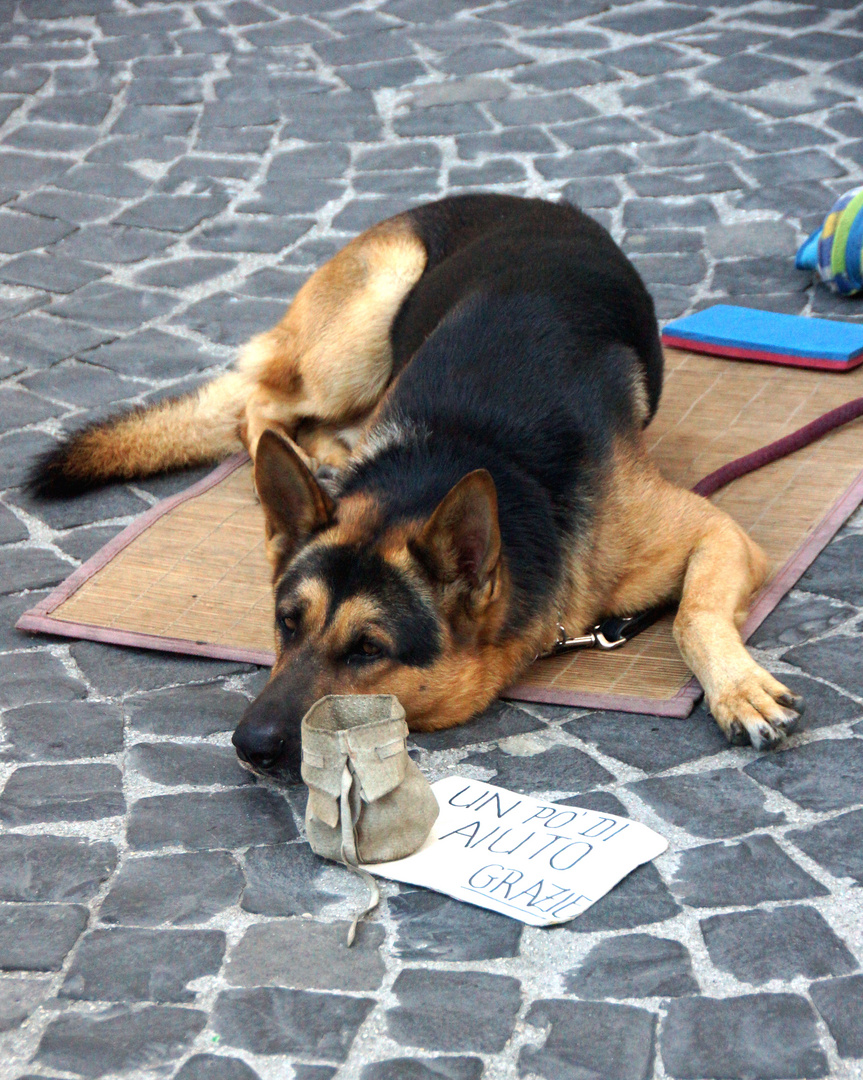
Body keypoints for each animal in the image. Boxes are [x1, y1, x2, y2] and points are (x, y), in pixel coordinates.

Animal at [32, 194, 803, 777]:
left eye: (368, 651)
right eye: (288, 623)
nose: (249, 748)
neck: (463, 448)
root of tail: (523, 200)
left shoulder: (718, 532)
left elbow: (693, 613)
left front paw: (738, 691)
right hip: (360, 326)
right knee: (261, 402)